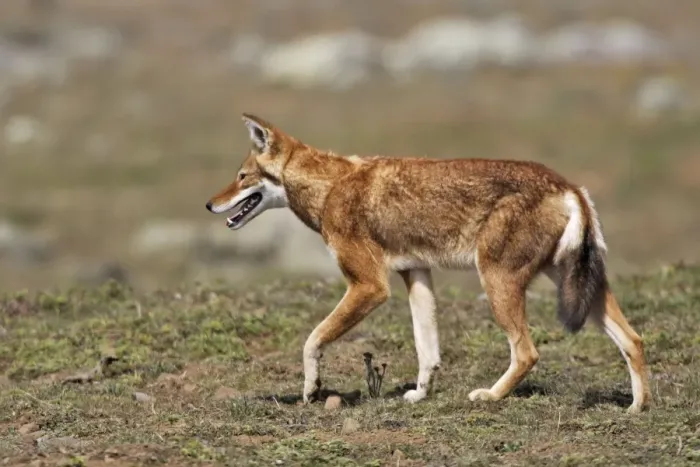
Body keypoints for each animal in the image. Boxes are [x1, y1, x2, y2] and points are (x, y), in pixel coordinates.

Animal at [205, 113, 652, 413]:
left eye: (242, 176)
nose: (209, 204)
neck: (330, 187)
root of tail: (570, 186)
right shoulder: (415, 273)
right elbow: (427, 349)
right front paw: (420, 394)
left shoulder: (370, 286)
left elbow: (312, 339)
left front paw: (312, 389)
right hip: (577, 290)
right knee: (633, 340)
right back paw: (637, 408)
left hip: (498, 283)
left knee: (527, 352)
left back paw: (489, 396)